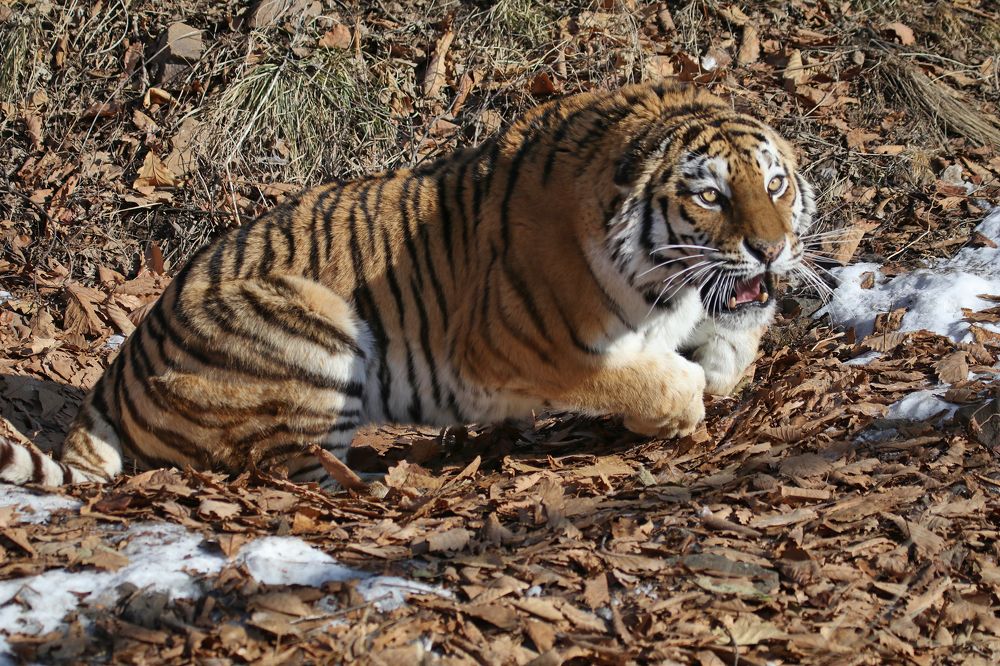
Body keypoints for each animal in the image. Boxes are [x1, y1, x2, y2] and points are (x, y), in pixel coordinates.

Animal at [0, 81, 815, 490]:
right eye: (710, 195)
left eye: (775, 183)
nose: (772, 250)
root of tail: (119, 370)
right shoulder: (515, 348)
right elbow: (642, 375)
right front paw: (680, 403)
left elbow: (726, 348)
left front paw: (713, 376)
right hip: (314, 324)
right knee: (279, 468)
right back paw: (385, 483)